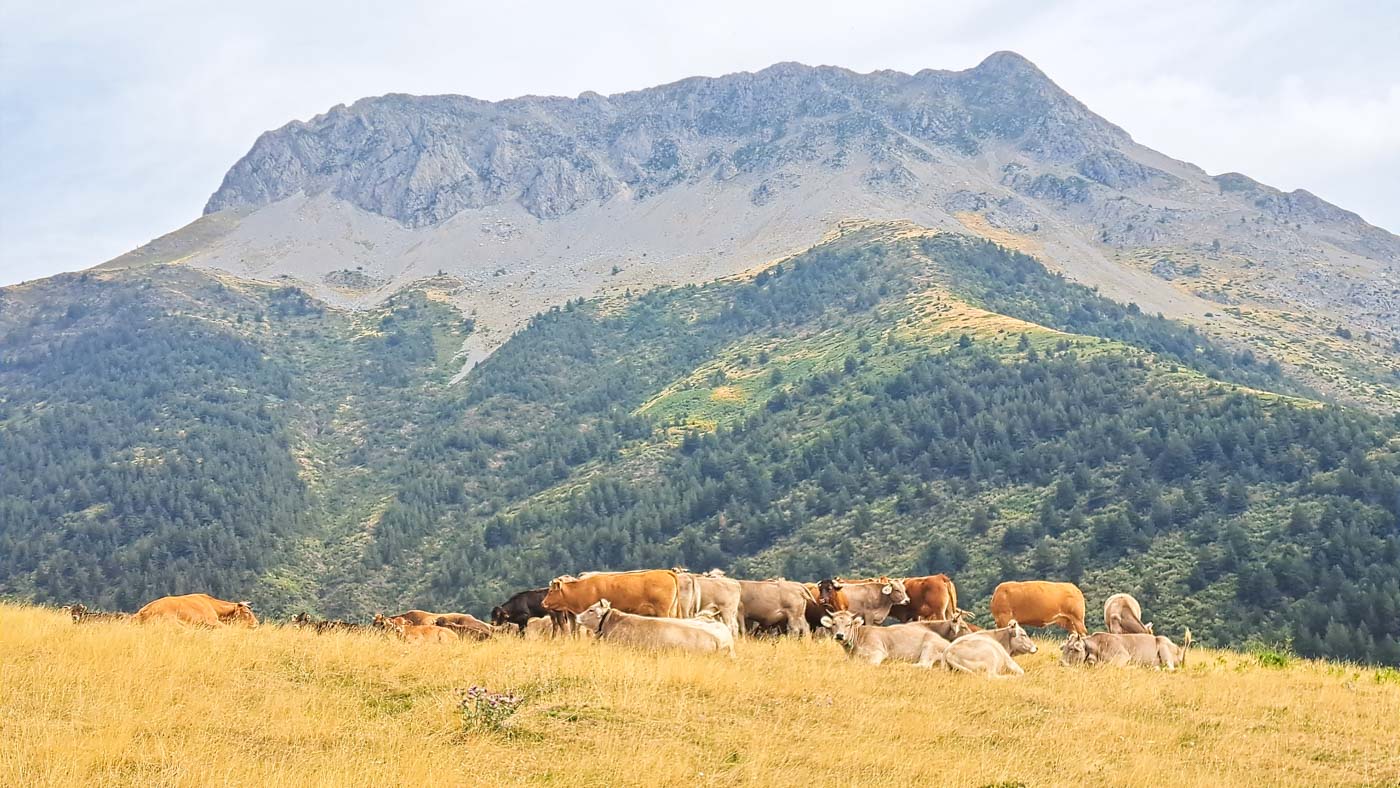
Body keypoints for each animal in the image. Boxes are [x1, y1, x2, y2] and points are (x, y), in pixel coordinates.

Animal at [820, 610, 950, 667]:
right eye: (834, 624)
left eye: (849, 624)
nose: (839, 635)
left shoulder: (878, 652)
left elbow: (871, 664)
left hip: (930, 646)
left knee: (924, 664)